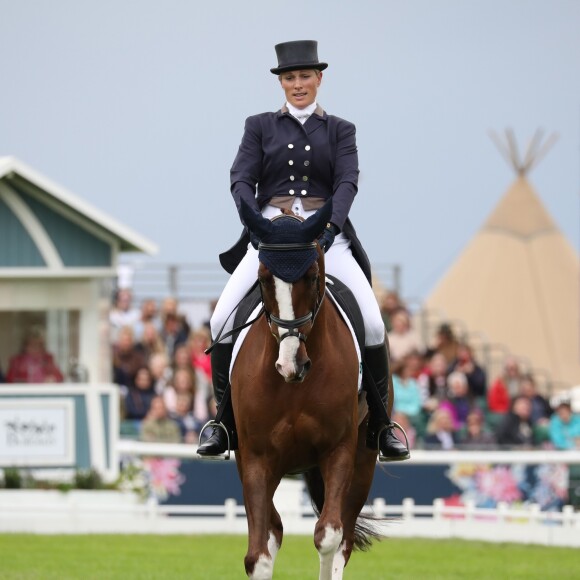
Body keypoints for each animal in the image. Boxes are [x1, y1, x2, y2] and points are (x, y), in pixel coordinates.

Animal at [231, 201, 380, 580]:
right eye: (263, 279)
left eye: (311, 276)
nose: (291, 365)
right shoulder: (256, 458)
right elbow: (258, 554)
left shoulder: (338, 450)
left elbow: (328, 536)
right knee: (274, 529)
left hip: (363, 463)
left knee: (343, 538)